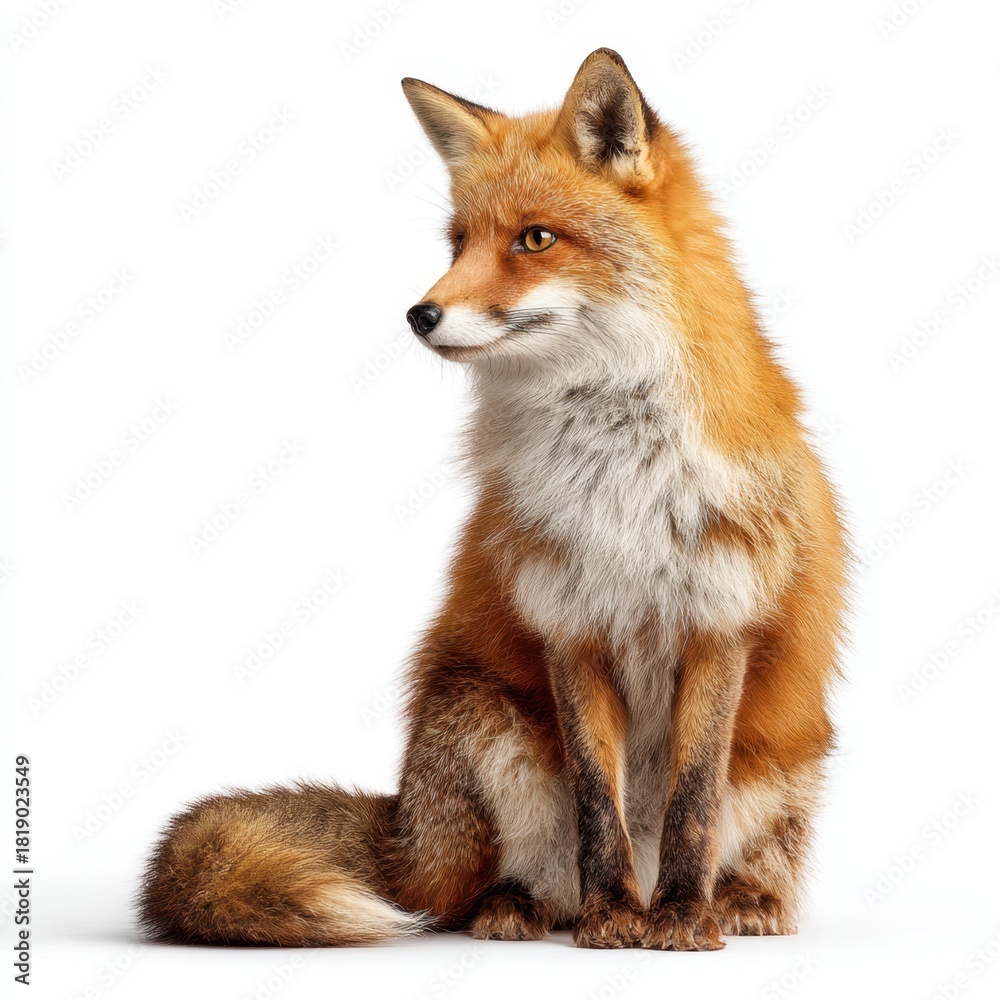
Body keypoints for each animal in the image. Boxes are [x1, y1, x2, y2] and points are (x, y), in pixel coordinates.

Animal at [139, 49, 848, 951]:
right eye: (457, 242)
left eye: (534, 239)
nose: (419, 313)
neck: (618, 473)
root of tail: (403, 831)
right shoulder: (569, 626)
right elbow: (598, 808)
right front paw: (613, 917)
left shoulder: (721, 622)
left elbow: (692, 803)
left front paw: (682, 919)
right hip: (480, 719)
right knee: (467, 891)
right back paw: (523, 907)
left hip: (785, 761)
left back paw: (739, 902)